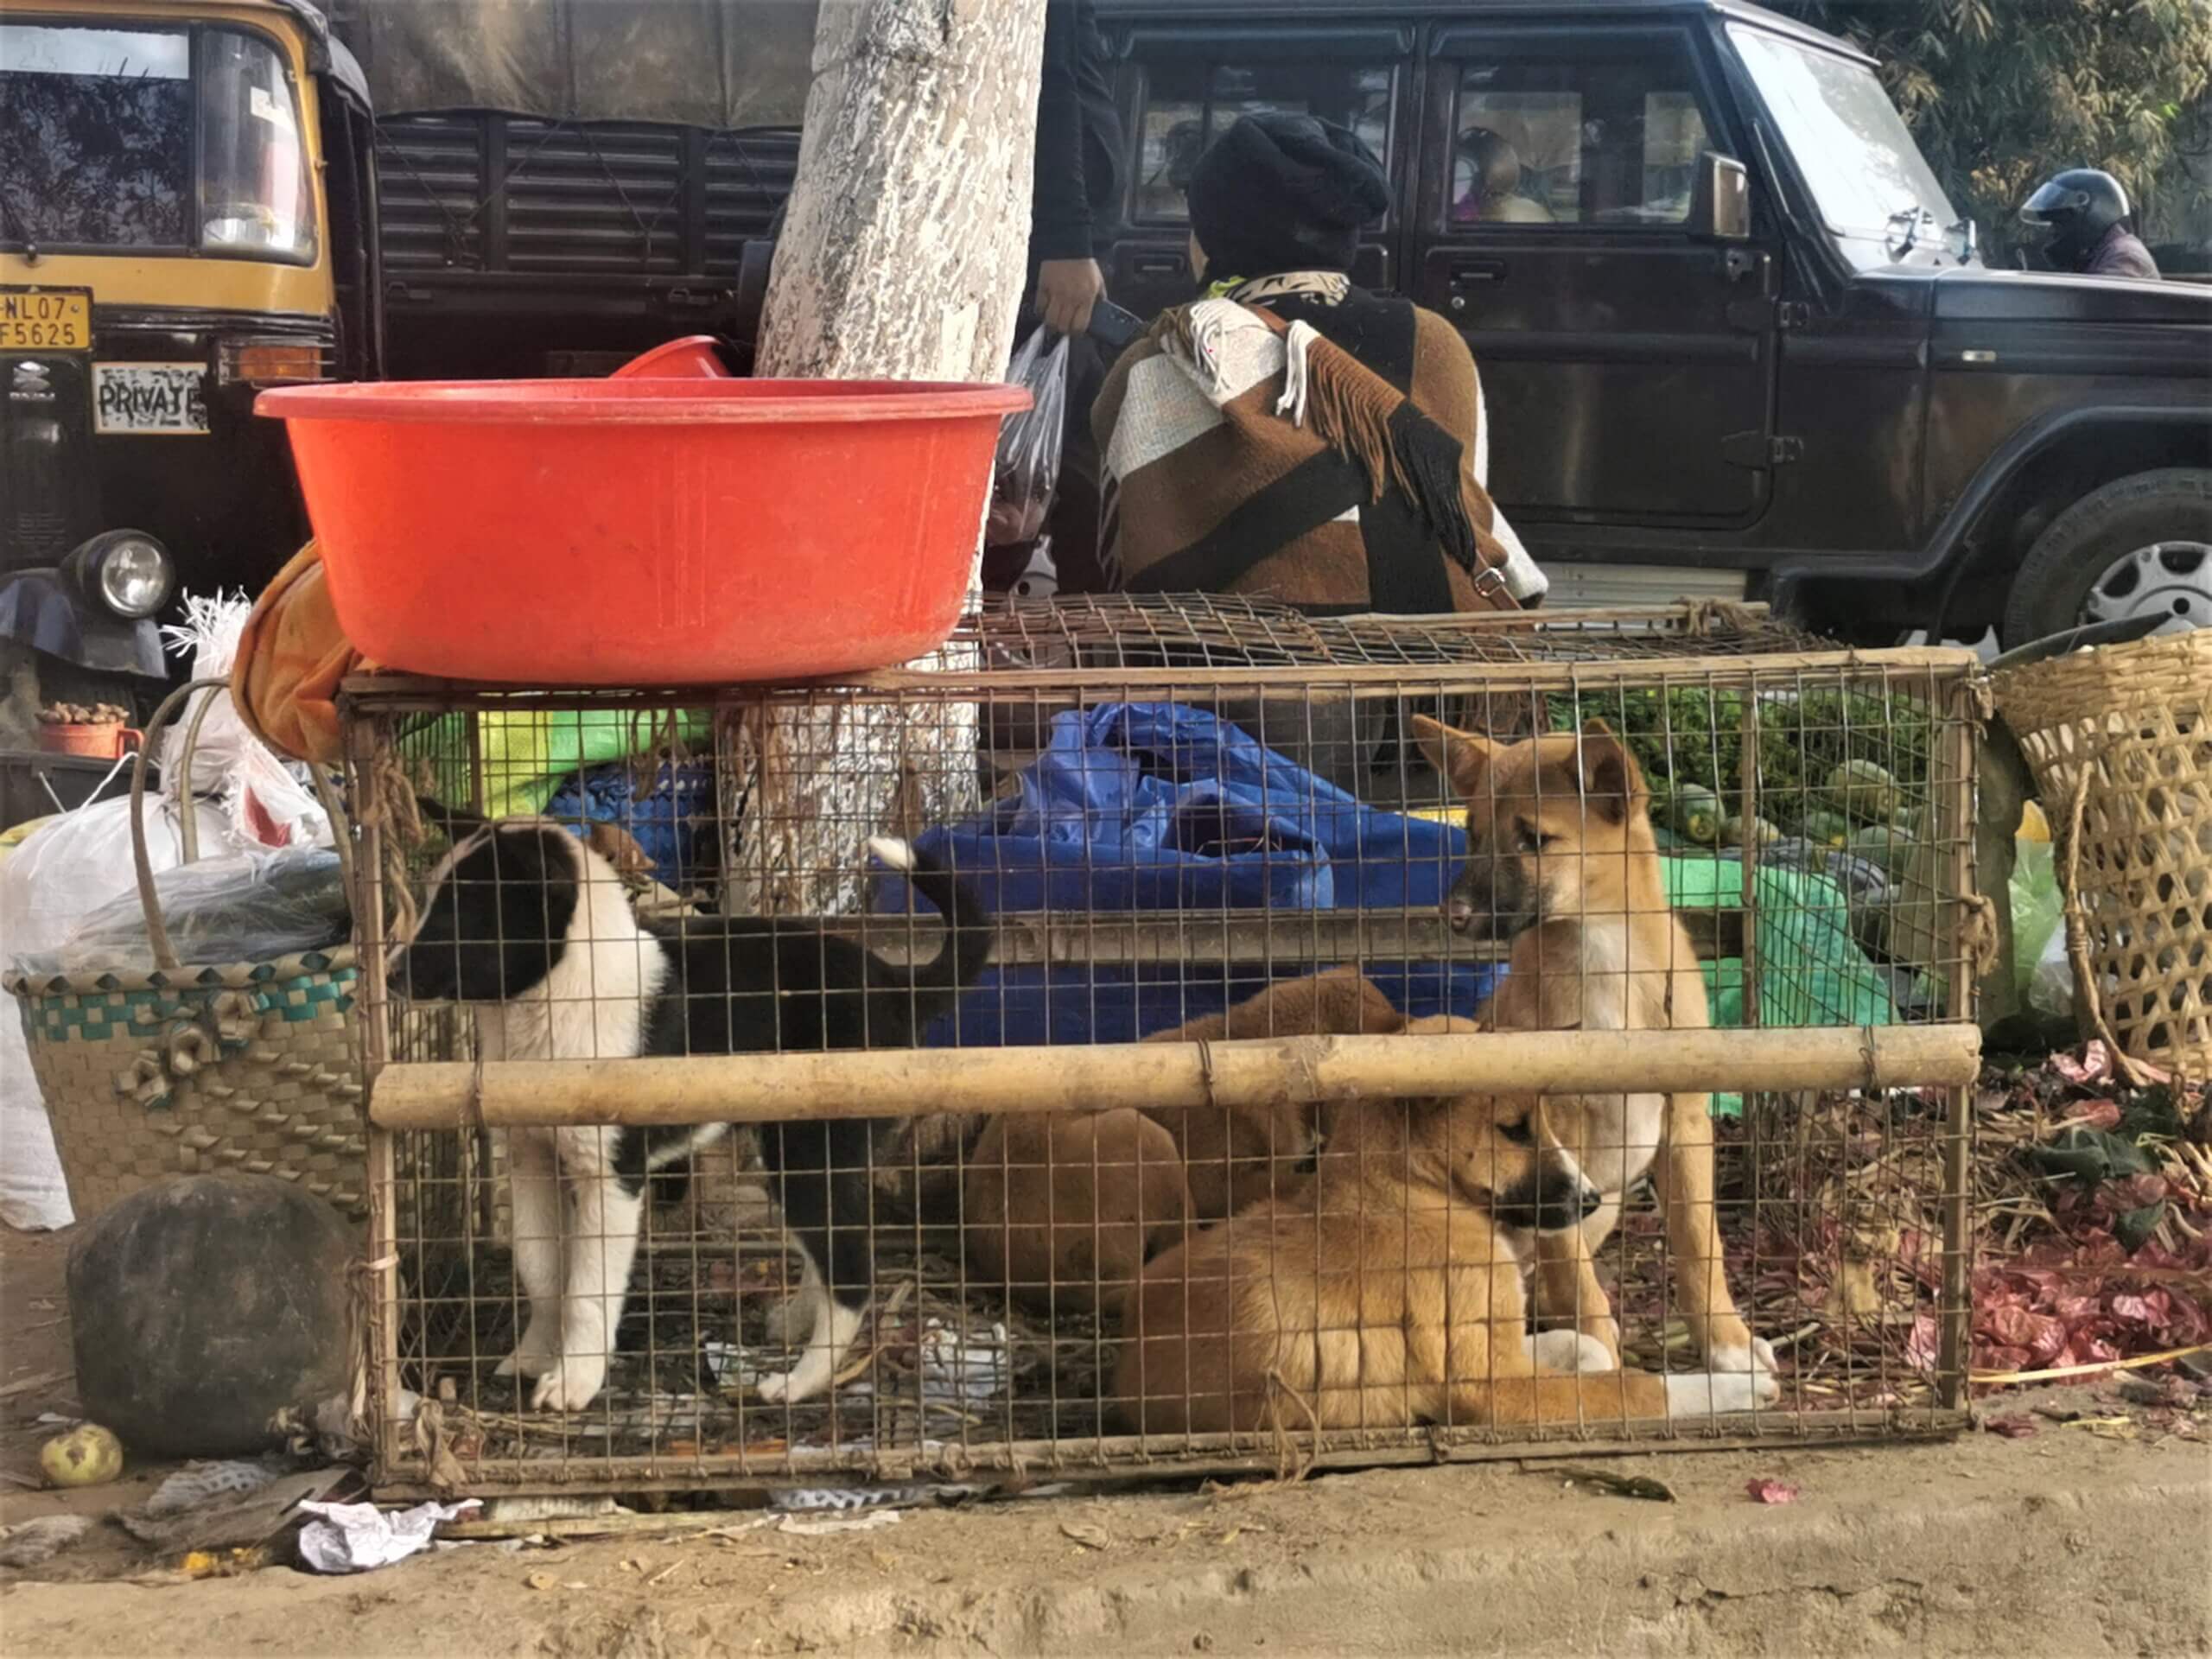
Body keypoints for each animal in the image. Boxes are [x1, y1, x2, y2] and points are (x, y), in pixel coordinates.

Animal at [393, 814, 990, 1415]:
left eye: (458, 913)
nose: (391, 975)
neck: (557, 994)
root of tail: (893, 984)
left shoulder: (611, 1179)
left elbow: (587, 1291)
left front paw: (573, 1381)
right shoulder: (531, 1158)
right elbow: (540, 1270)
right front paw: (535, 1355)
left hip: (806, 1152)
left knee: (849, 1272)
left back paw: (800, 1382)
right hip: (790, 1152)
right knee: (824, 1253)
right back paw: (795, 1322)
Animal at [1115, 1021, 1770, 1433]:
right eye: (1513, 1129)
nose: (1590, 1200)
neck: (1412, 1192)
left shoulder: (1495, 1348)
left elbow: (1577, 1345)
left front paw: (1587, 1354)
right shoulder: (1490, 1387)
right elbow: (1637, 1389)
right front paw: (1734, 1387)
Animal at [1415, 716, 1778, 1407]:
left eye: (1534, 839)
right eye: (1472, 833)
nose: (1452, 916)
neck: (1604, 959)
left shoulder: (1685, 1128)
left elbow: (1701, 1248)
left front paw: (1729, 1344)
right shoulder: (1553, 1148)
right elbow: (1581, 1286)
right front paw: (1606, 1363)